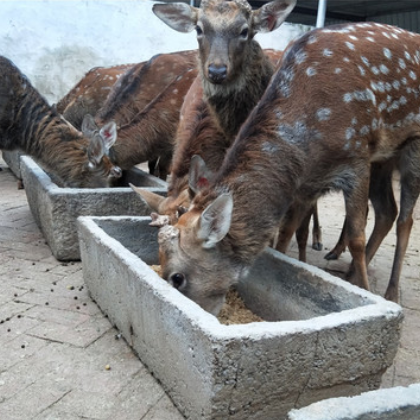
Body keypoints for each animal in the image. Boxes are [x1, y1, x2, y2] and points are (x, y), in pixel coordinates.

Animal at [149, 21, 420, 314]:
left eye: (177, 277)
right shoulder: (306, 184)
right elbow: (286, 233)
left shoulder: (357, 155)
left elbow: (356, 236)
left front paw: (368, 292)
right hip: (385, 159)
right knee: (387, 211)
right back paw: (350, 275)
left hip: (410, 146)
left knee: (405, 219)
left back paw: (390, 292)